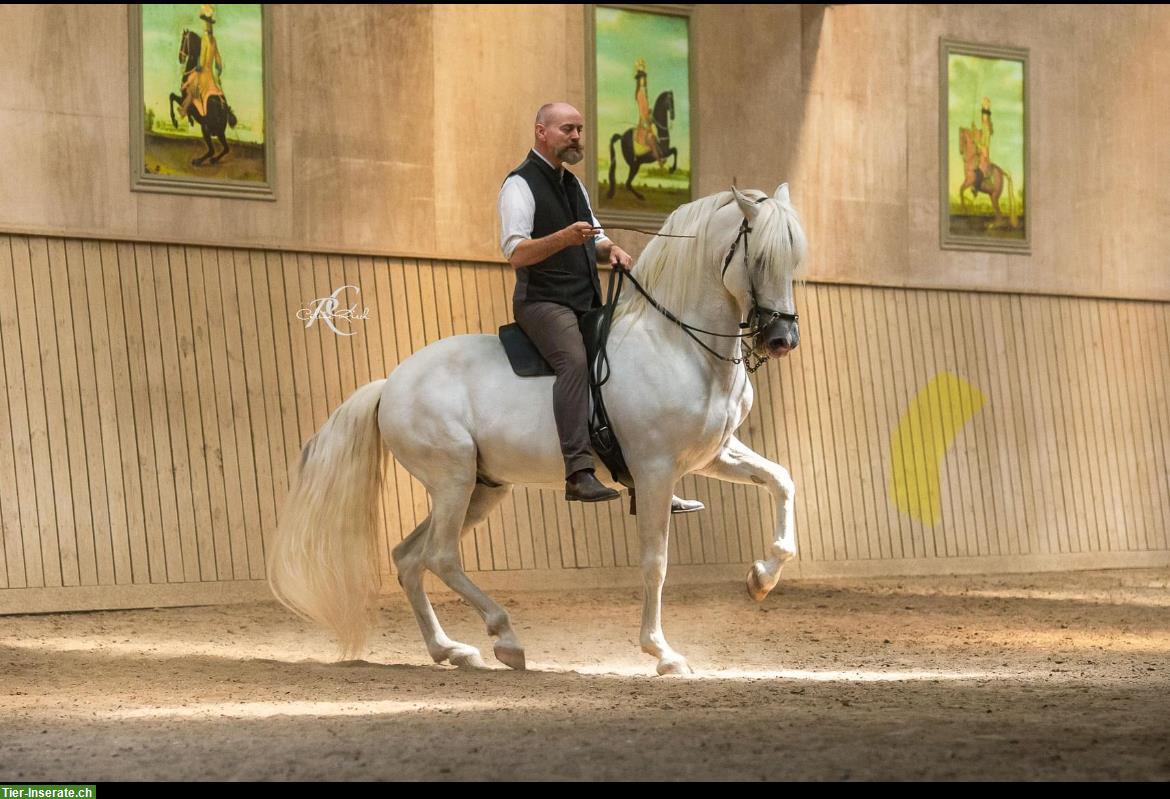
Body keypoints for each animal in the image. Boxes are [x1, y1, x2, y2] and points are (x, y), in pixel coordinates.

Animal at [269, 186, 809, 673]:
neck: (678, 343)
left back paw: (452, 651)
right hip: (452, 480)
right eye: (760, 259)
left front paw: (761, 578)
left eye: (794, 261)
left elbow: (782, 480)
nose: (782, 339)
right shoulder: (654, 471)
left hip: (482, 489)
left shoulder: (715, 454)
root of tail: (391, 384)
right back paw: (505, 638)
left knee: (409, 558)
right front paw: (663, 653)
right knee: (440, 557)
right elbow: (655, 563)